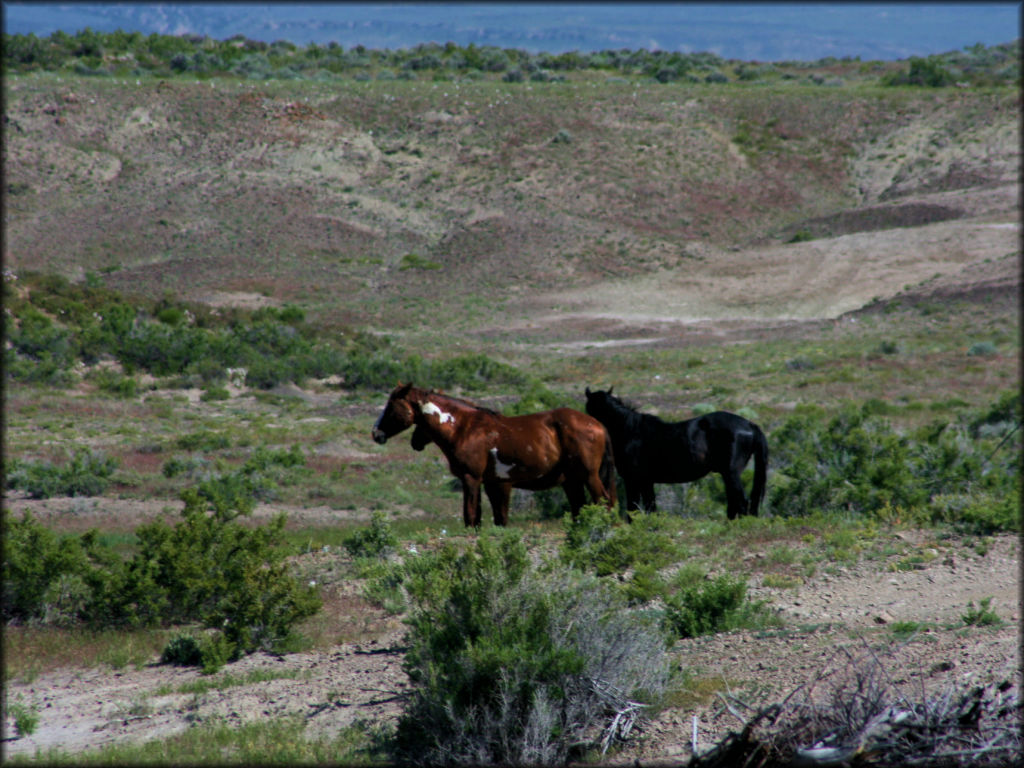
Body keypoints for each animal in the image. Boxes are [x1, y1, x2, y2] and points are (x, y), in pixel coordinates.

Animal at [372, 385, 618, 528]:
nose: (376, 433)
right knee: (581, 508)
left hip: (589, 477)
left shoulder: (472, 479)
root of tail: (598, 425)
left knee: (604, 502)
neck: (465, 428)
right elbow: (493, 519)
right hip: (572, 481)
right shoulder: (492, 483)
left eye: (391, 407)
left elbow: (471, 516)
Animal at [585, 387, 770, 520]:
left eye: (589, 409)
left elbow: (634, 508)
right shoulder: (646, 481)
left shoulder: (634, 480)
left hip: (731, 473)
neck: (631, 432)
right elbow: (650, 507)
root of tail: (749, 424)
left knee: (741, 502)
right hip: (728, 474)